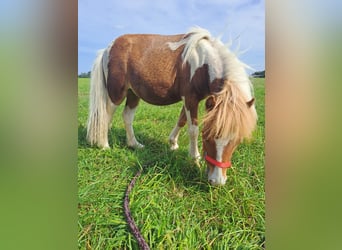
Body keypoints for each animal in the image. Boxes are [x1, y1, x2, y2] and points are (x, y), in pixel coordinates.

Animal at [86, 27, 256, 185]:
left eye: (237, 141)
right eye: (207, 138)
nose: (217, 181)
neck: (202, 62)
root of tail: (107, 48)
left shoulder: (192, 99)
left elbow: (182, 120)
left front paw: (173, 144)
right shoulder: (190, 98)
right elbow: (193, 130)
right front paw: (195, 160)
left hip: (133, 94)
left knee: (127, 117)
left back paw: (134, 144)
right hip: (116, 95)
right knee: (106, 116)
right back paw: (104, 145)